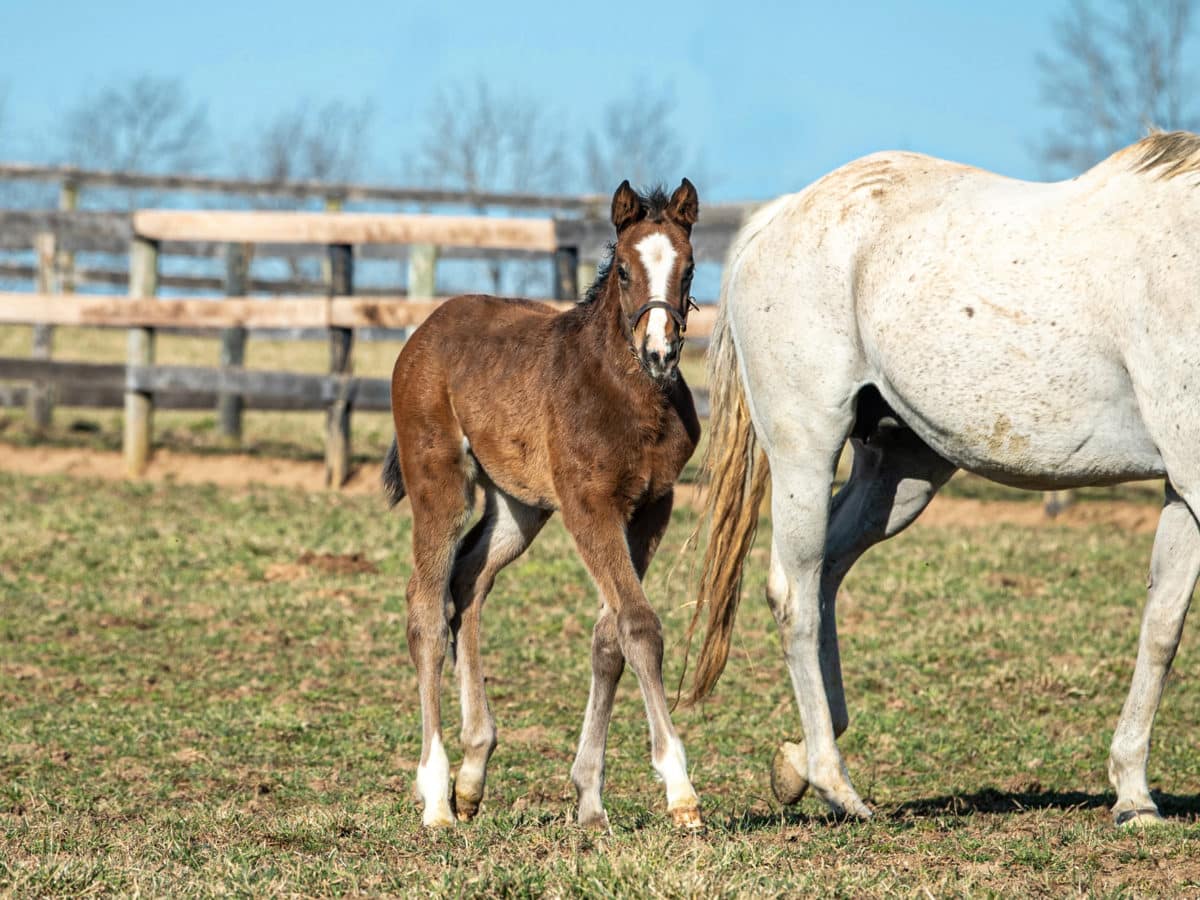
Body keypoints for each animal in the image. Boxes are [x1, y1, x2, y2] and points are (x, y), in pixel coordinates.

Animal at [384, 177, 700, 830]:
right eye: (624, 270)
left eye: (688, 269)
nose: (660, 353)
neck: (629, 396)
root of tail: (422, 332)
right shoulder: (588, 505)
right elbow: (639, 625)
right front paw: (680, 790)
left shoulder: (652, 505)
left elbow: (610, 638)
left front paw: (590, 799)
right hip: (440, 483)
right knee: (426, 609)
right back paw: (436, 796)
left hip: (518, 507)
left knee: (469, 582)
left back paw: (472, 773)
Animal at [691, 130, 1200, 830]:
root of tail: (782, 216)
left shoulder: (1182, 487)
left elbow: (1162, 628)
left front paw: (1134, 797)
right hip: (805, 452)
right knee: (793, 594)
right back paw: (833, 783)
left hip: (902, 474)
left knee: (825, 577)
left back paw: (795, 763)